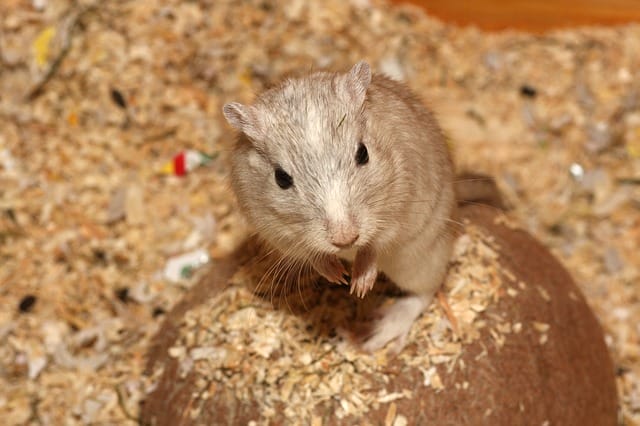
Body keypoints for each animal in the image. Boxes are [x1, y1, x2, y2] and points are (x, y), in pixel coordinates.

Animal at [223, 61, 456, 352]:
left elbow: (375, 245)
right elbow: (310, 253)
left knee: (425, 292)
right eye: (281, 178)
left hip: (420, 257)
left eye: (363, 153)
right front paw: (337, 276)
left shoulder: (398, 208)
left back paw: (375, 334)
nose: (345, 240)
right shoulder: (275, 229)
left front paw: (358, 286)